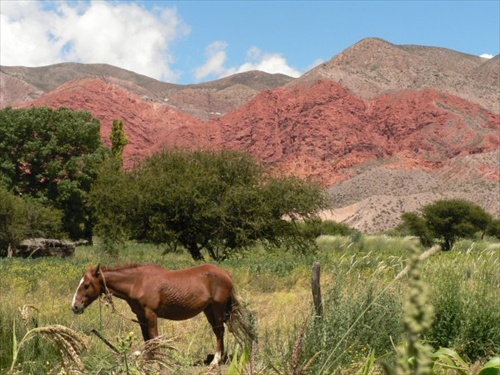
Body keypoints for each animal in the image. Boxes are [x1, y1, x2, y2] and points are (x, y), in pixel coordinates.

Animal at [72, 262, 256, 366]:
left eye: (86, 285)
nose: (75, 307)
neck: (137, 282)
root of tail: (225, 274)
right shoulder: (141, 317)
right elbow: (147, 340)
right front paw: (146, 360)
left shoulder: (151, 315)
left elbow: (155, 339)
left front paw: (159, 361)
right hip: (208, 309)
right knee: (218, 331)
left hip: (217, 308)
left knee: (220, 331)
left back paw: (216, 361)